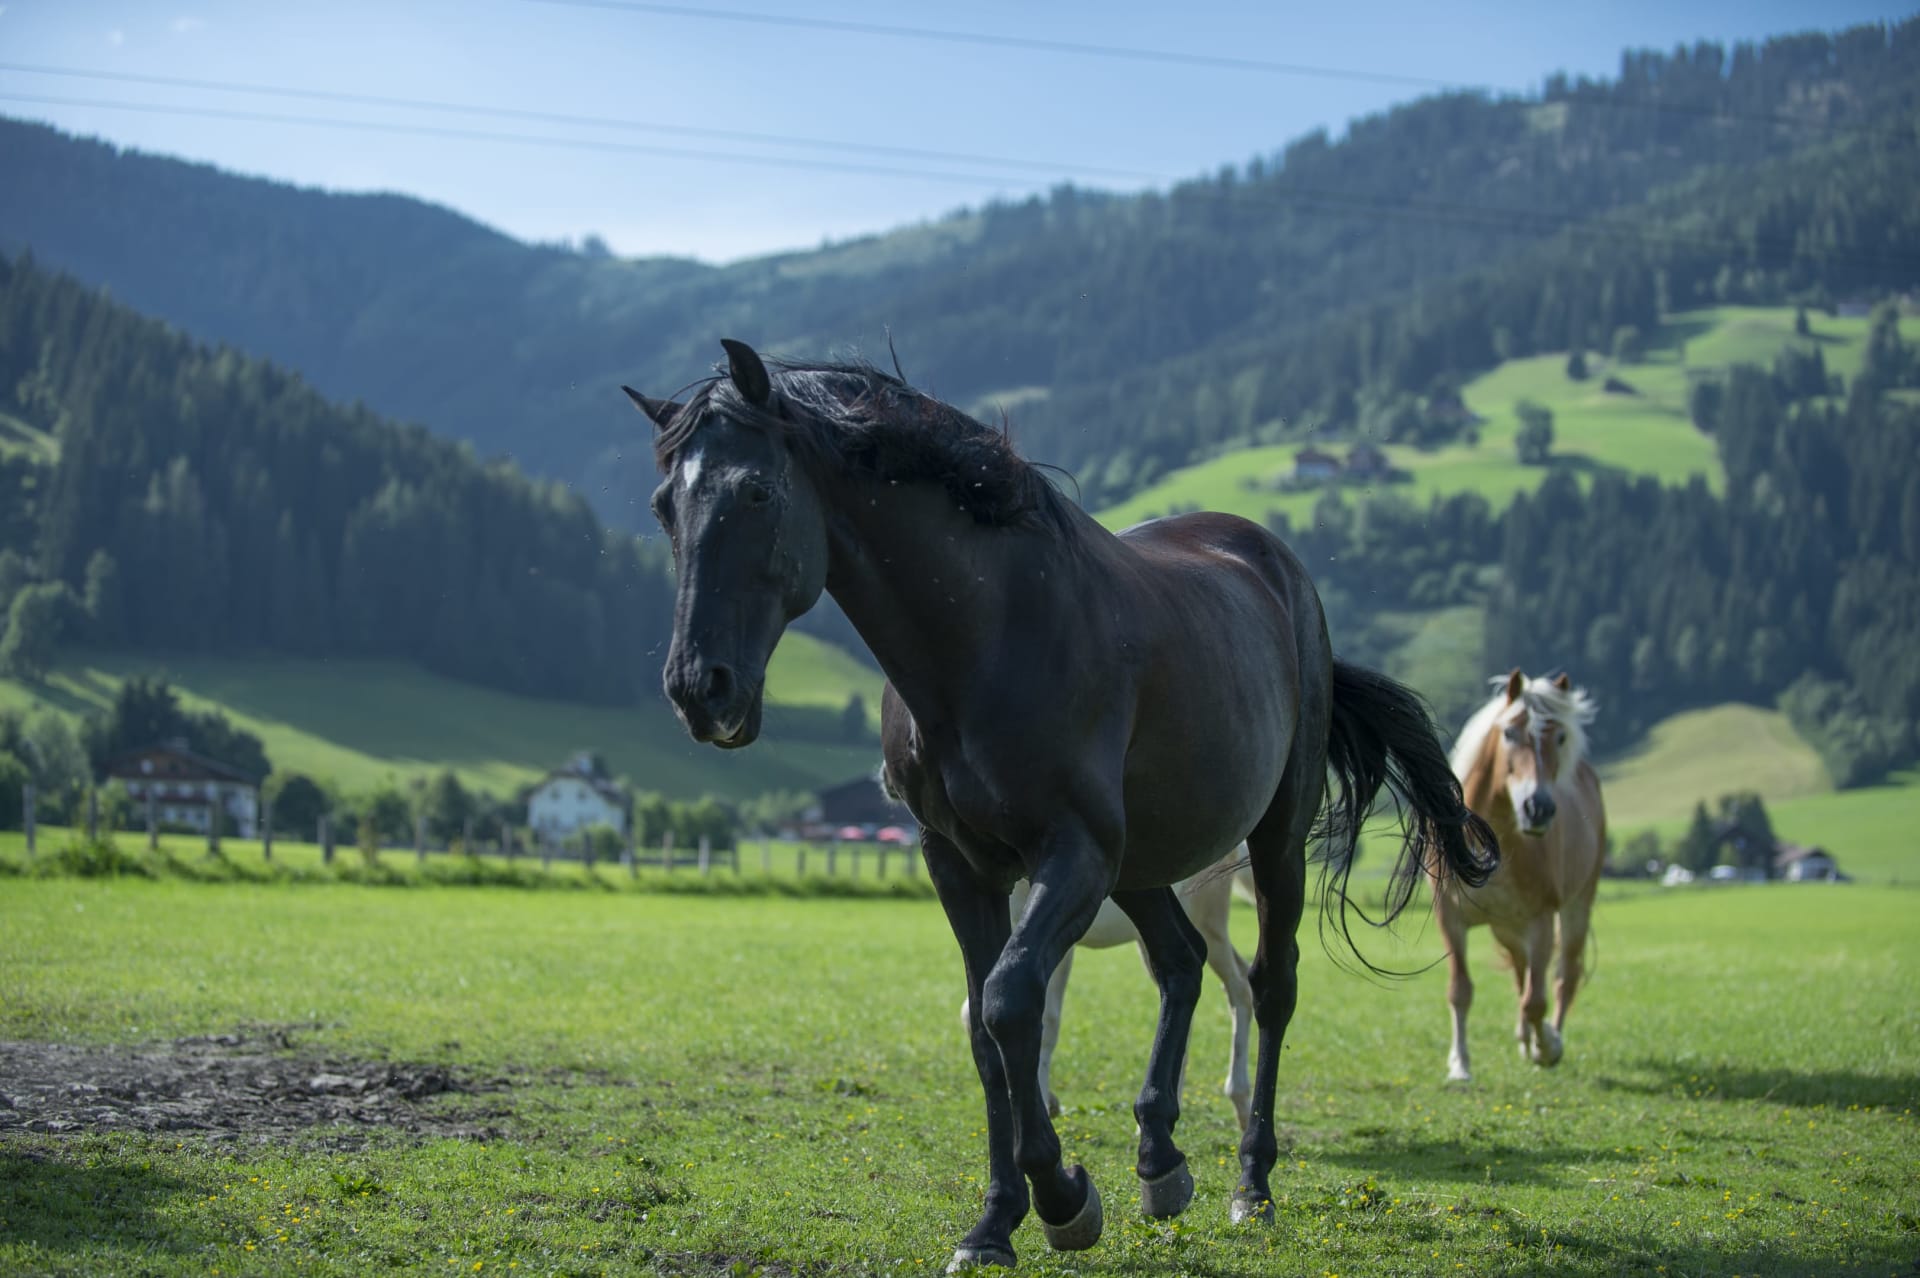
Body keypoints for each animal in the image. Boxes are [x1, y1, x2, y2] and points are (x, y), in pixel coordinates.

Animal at [960, 847, 1257, 1132]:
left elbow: (1047, 1022)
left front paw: (1044, 1103)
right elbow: (975, 1015)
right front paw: (1049, 1103)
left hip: (1207, 922)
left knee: (1237, 987)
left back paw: (1235, 1101)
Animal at [1434, 670, 1605, 1082]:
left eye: (1560, 737)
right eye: (1510, 733)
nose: (1538, 808)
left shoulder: (1541, 919)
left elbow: (1536, 1000)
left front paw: (1547, 1046)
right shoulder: (1450, 918)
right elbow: (1460, 990)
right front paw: (1460, 1065)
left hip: (1575, 907)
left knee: (1562, 976)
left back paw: (1546, 1038)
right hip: (1506, 928)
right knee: (1521, 970)